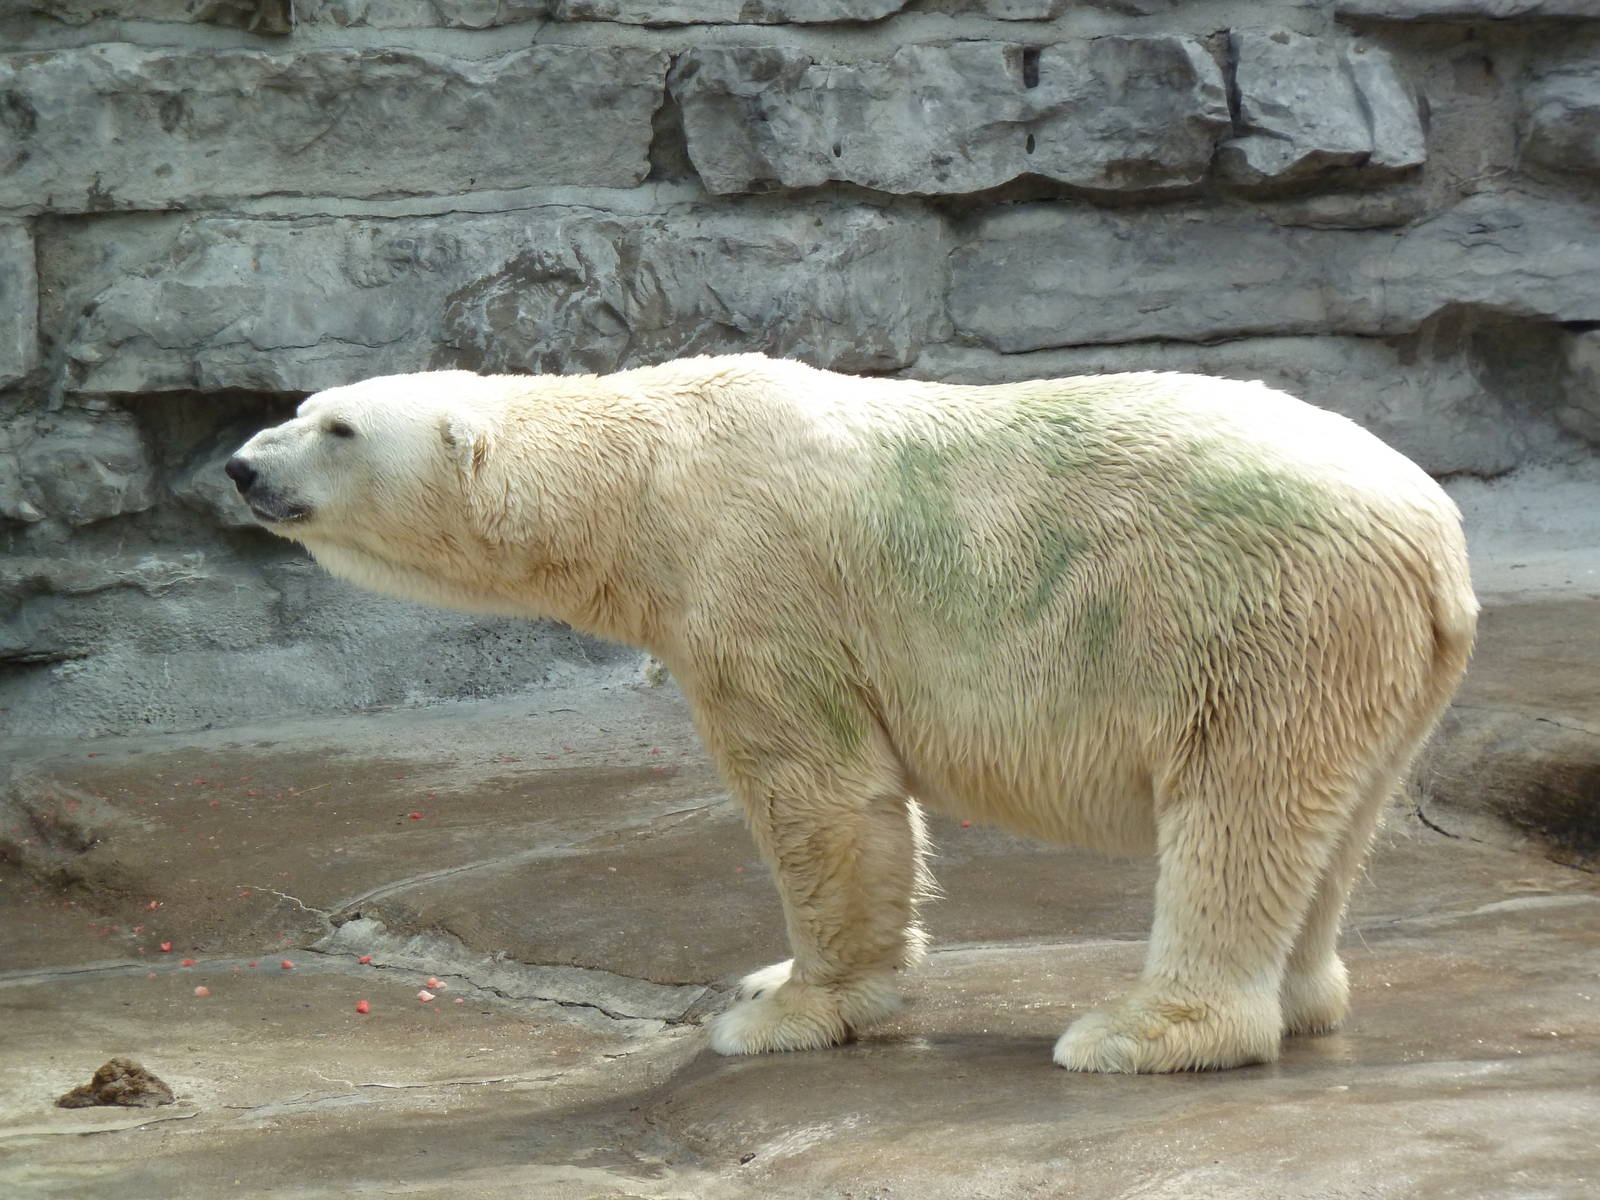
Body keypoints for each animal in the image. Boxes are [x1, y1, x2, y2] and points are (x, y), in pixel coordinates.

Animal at [226, 354, 1477, 1073]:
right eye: (302, 409)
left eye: (337, 430)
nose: (239, 466)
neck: (649, 467)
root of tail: (1433, 540)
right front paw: (767, 983)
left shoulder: (757, 579)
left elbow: (819, 791)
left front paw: (787, 1010)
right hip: (1370, 665)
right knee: (1330, 824)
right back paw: (1301, 996)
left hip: (1254, 620)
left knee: (1235, 814)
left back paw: (1137, 1032)